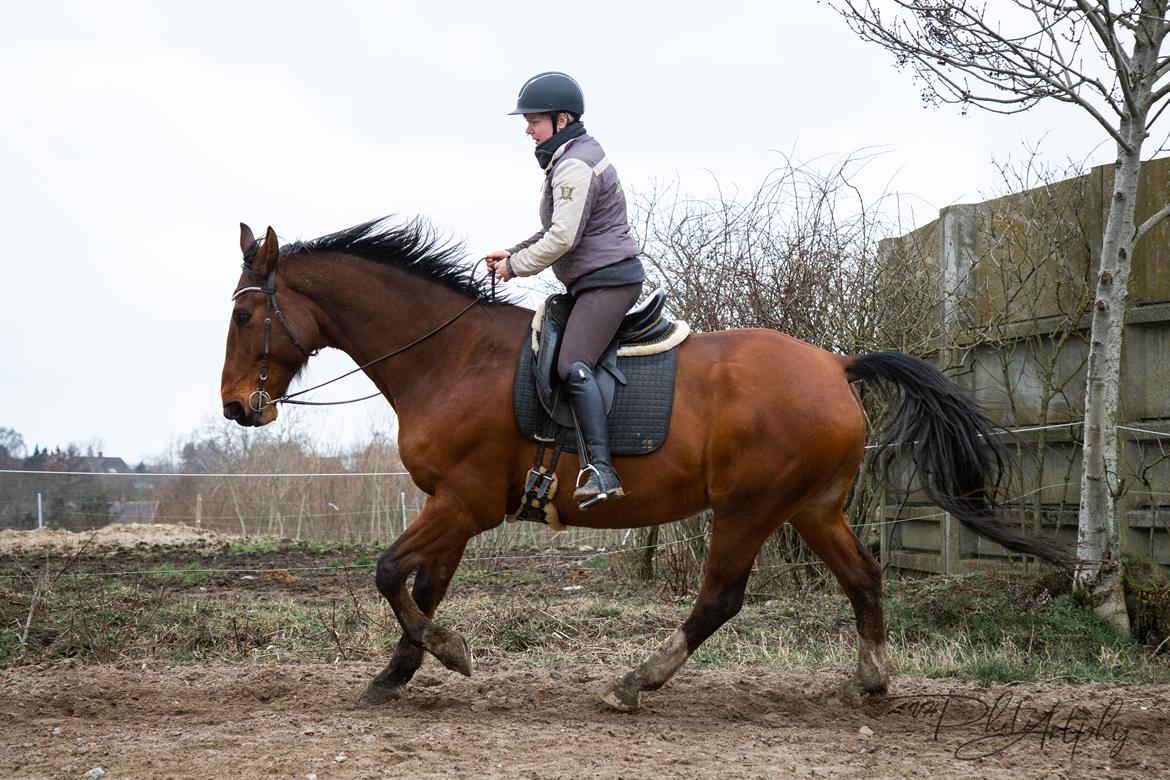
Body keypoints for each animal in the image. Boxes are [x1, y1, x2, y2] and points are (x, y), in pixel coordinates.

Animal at [221, 216, 1071, 711]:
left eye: (247, 313)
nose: (235, 407)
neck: (452, 358)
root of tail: (835, 363)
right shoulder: (453, 508)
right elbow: (421, 586)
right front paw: (399, 673)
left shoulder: (464, 503)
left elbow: (389, 573)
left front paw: (448, 653)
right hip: (812, 506)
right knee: (863, 577)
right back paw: (871, 683)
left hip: (749, 507)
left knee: (720, 600)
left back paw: (635, 683)